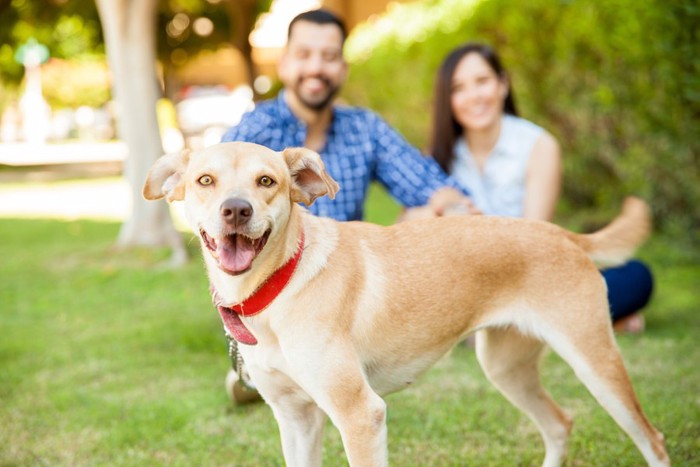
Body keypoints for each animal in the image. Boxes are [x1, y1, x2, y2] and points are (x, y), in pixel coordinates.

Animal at [141, 143, 668, 467]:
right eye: (205, 180)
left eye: (266, 181)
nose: (236, 209)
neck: (277, 289)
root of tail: (561, 232)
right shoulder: (295, 418)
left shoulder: (360, 415)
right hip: (505, 368)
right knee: (559, 425)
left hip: (595, 362)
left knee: (652, 440)